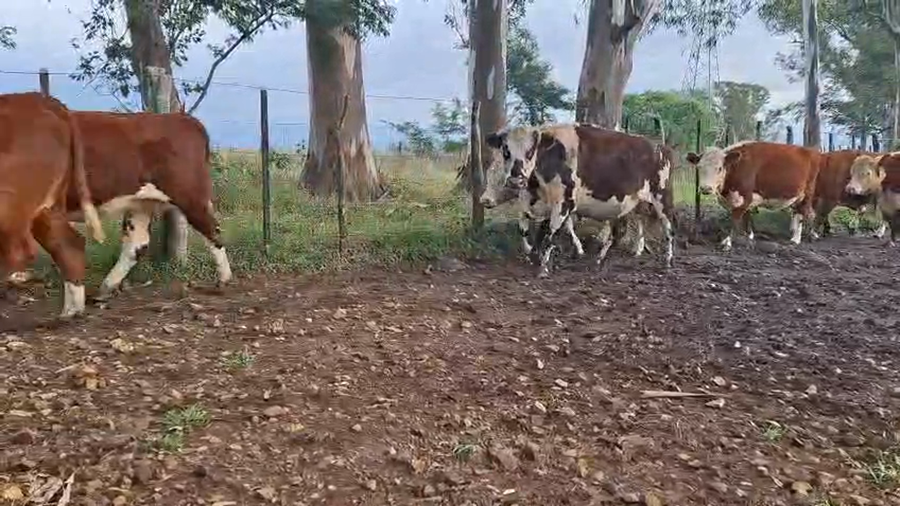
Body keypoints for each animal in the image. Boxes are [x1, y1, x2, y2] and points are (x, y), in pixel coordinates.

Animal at [0, 92, 106, 317]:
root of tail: (40, 98)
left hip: (11, 202)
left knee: (19, 252)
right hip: (47, 207)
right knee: (69, 243)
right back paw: (71, 312)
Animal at [7, 110, 233, 300]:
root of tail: (181, 118)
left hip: (190, 193)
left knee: (213, 231)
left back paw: (224, 280)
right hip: (141, 202)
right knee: (137, 244)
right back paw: (107, 287)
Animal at [524, 124, 676, 277]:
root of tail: (660, 147)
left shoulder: (563, 203)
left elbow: (551, 233)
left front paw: (543, 267)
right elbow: (538, 229)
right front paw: (534, 255)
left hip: (661, 197)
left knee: (668, 227)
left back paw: (667, 261)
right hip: (633, 203)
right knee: (625, 229)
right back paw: (611, 256)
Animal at [685, 141, 821, 251]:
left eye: (719, 168)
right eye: (699, 167)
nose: (705, 188)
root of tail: (812, 151)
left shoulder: (743, 198)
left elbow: (735, 221)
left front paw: (727, 243)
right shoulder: (745, 200)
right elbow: (747, 216)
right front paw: (749, 237)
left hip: (806, 194)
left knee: (806, 213)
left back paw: (800, 238)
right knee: (801, 213)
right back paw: (800, 235)